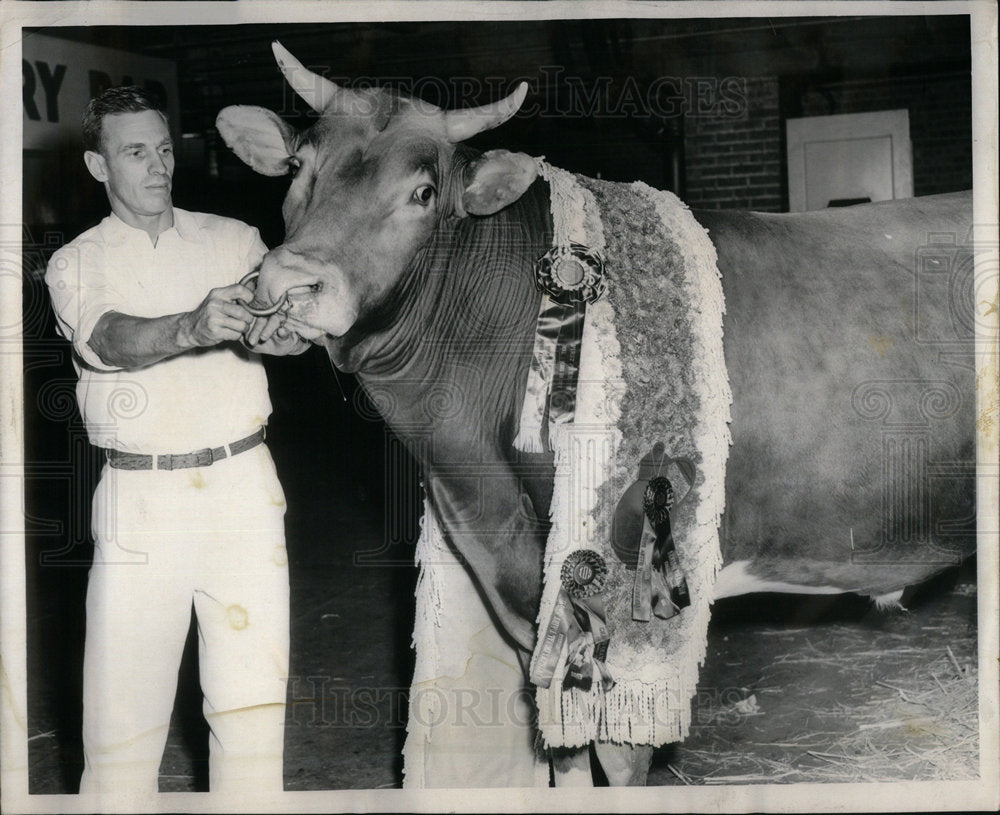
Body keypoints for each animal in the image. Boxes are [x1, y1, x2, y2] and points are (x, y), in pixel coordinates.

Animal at [215, 41, 972, 788]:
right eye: (299, 168)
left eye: (422, 194)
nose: (290, 284)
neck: (473, 471)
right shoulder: (526, 588)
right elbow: (565, 745)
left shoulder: (626, 584)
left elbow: (617, 749)